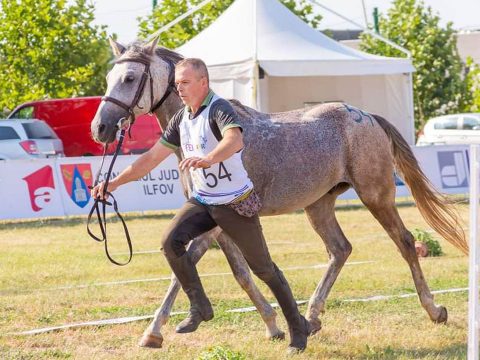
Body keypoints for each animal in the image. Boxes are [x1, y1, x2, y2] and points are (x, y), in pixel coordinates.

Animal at [89, 39, 464, 348]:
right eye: (110, 77)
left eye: (129, 78)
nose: (100, 128)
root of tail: (367, 116)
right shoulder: (216, 221)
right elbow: (239, 272)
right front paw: (273, 325)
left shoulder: (216, 222)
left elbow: (187, 265)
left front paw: (152, 331)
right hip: (318, 205)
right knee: (340, 249)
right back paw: (311, 318)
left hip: (376, 195)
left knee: (405, 242)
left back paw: (433, 309)